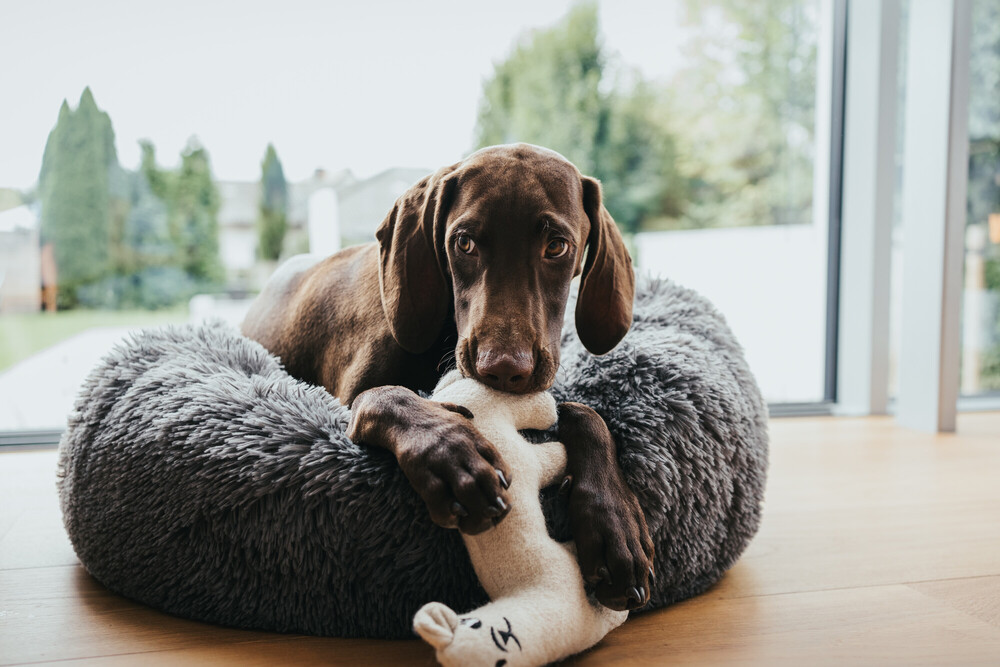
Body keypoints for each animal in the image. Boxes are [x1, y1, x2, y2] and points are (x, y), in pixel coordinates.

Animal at [243, 145, 656, 612]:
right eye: (465, 243)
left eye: (556, 246)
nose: (503, 370)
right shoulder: (345, 399)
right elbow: (386, 396)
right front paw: (451, 452)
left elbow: (586, 414)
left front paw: (614, 523)